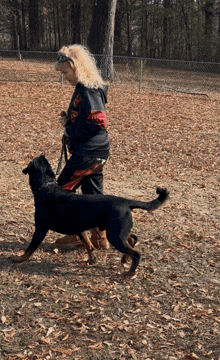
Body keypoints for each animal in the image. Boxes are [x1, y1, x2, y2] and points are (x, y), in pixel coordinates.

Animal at [11, 155, 169, 276]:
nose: (42, 154)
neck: (46, 187)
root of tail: (126, 201)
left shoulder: (40, 229)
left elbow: (30, 249)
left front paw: (18, 259)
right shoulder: (79, 229)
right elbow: (89, 244)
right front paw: (91, 260)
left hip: (115, 235)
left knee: (135, 253)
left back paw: (129, 273)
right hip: (117, 232)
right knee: (132, 239)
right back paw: (124, 260)